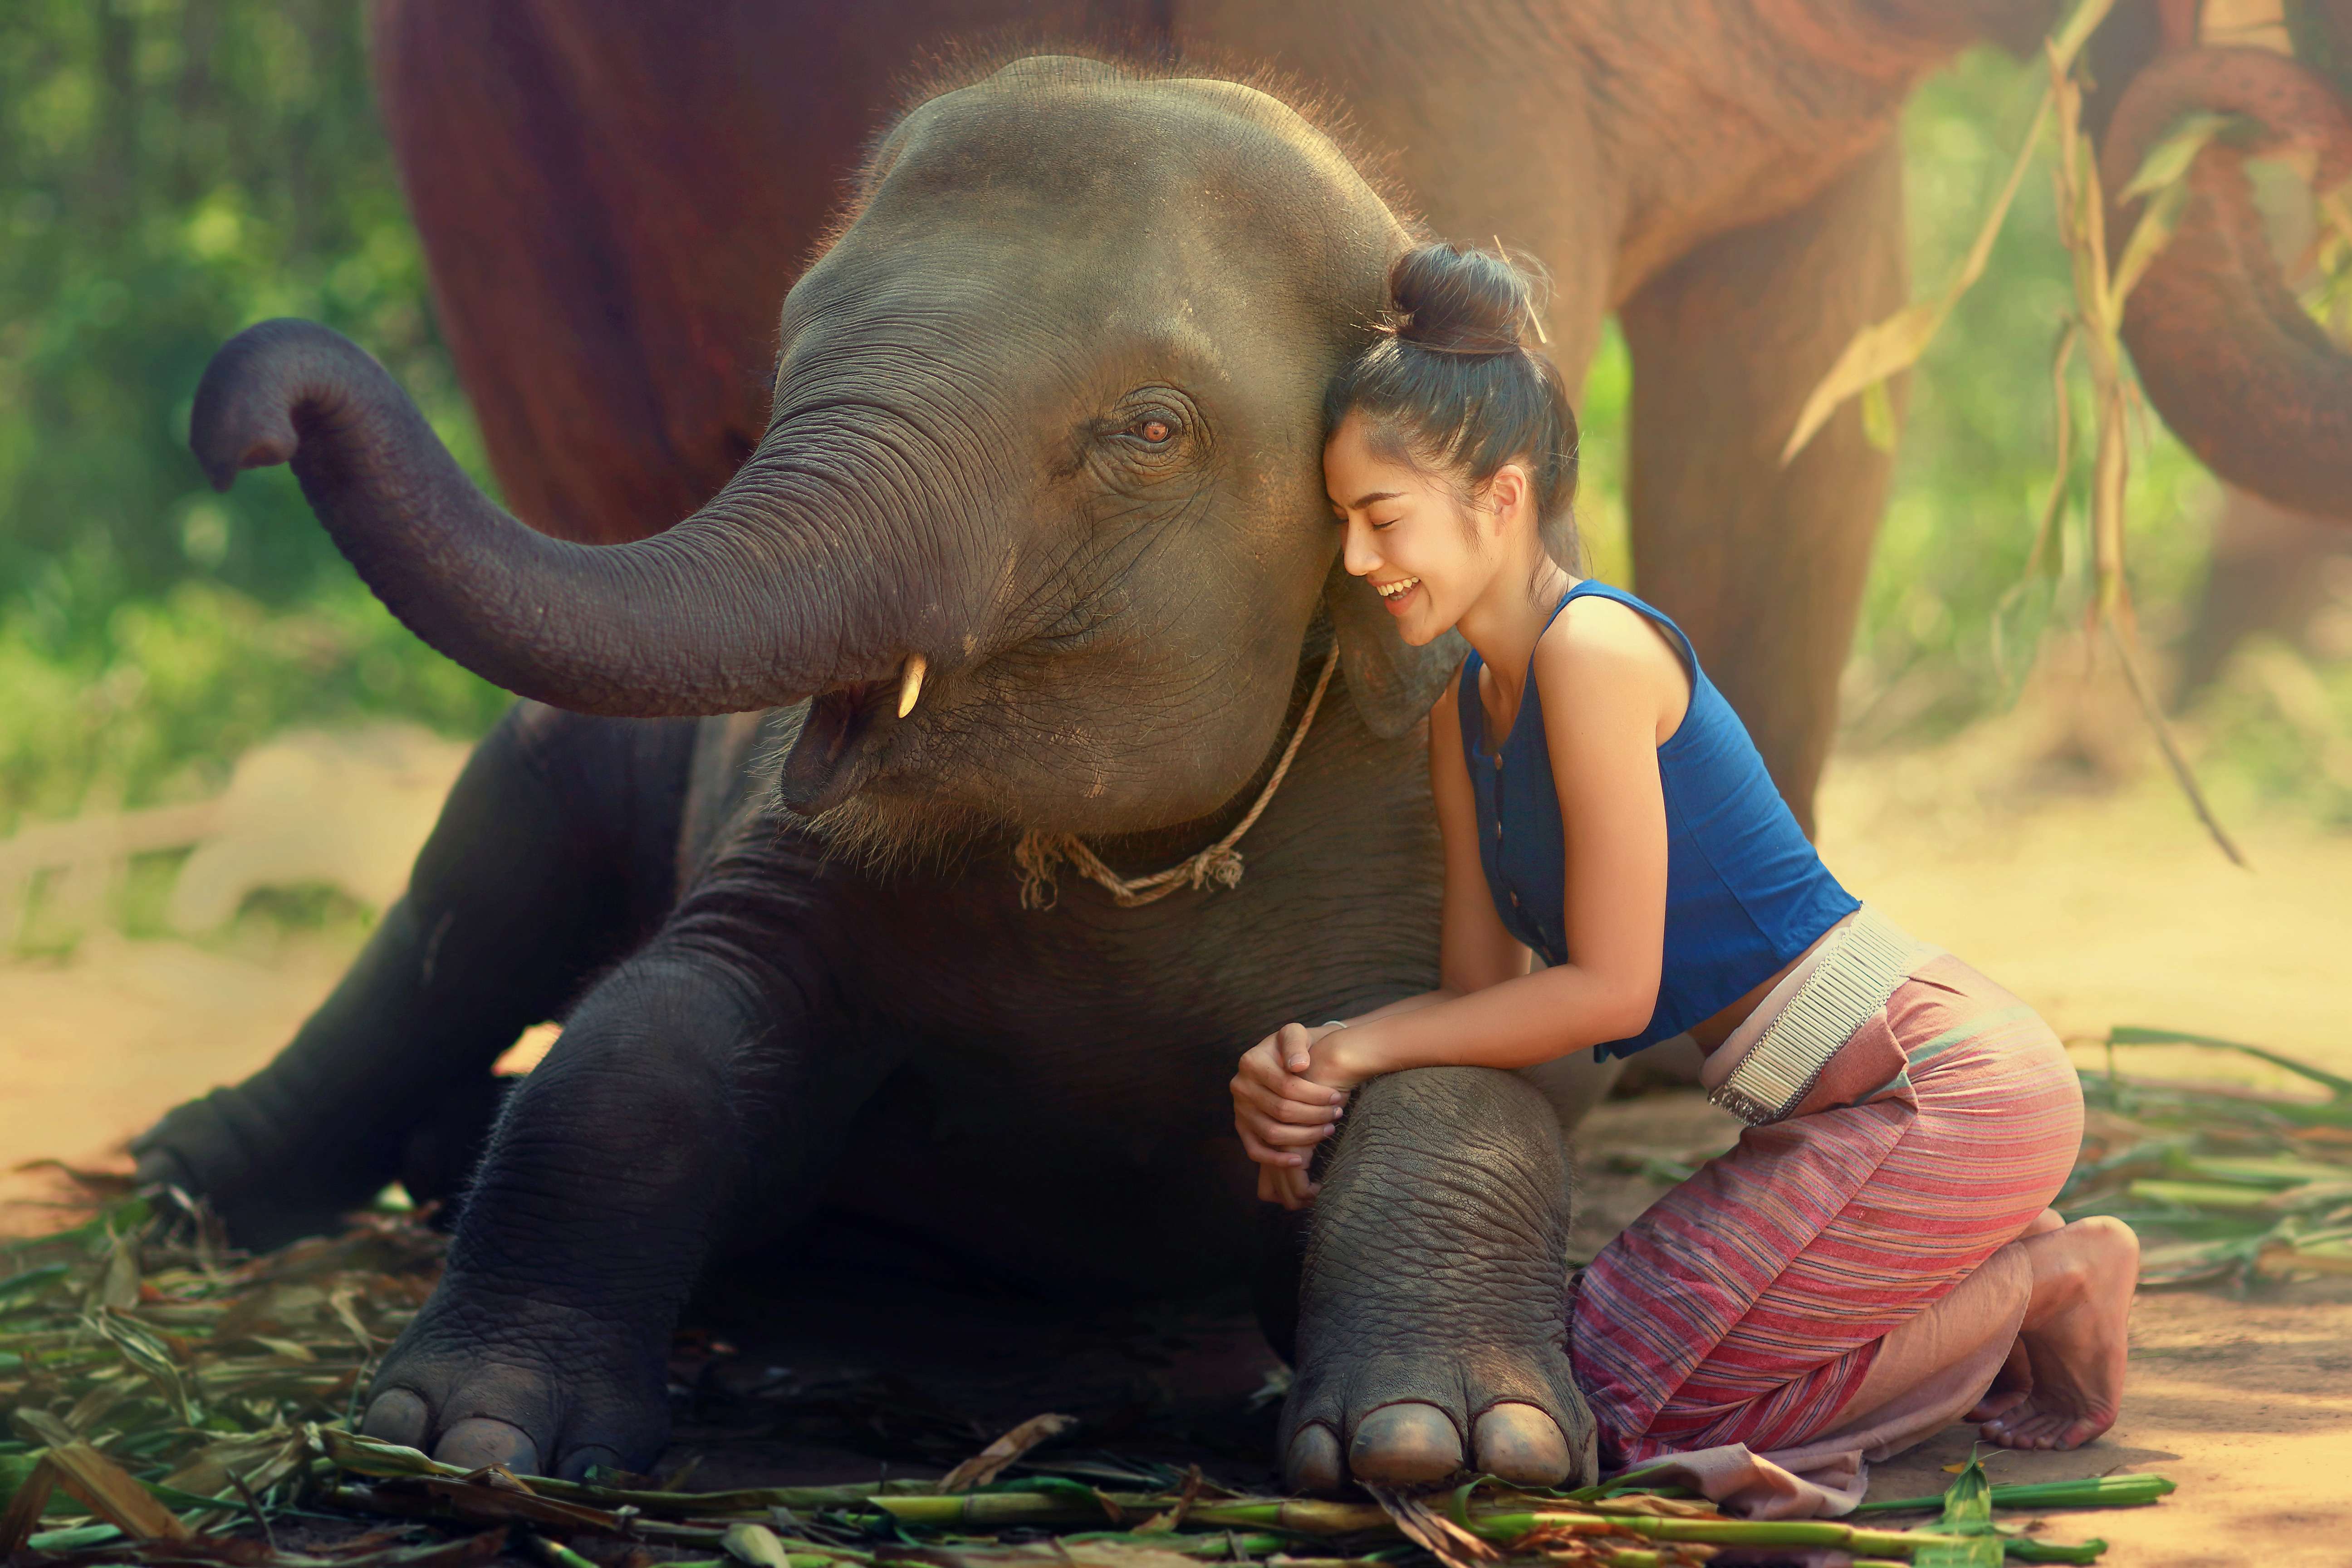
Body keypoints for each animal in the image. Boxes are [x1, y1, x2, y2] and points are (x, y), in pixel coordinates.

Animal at [137, 2, 2352, 1495]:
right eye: (793, 356)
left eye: (1145, 429)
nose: (245, 407)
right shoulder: (791, 840)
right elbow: (661, 1030)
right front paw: (461, 1439)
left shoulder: (1435, 807)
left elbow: (1474, 1076)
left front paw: (1451, 1449)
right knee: (478, 882)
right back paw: (214, 1176)